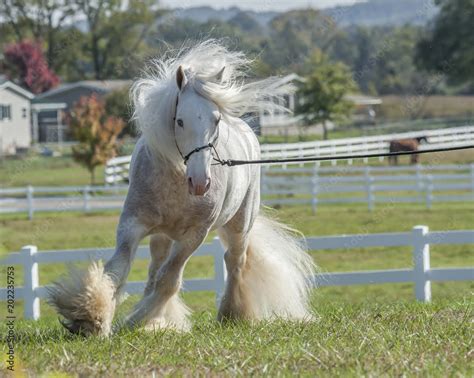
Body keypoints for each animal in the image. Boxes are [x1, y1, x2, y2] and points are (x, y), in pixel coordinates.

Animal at [48, 41, 316, 336]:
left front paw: (132, 323)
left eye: (216, 120)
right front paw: (92, 317)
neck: (175, 181)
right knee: (155, 267)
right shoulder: (132, 224)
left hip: (239, 225)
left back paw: (230, 314)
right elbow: (118, 270)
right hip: (162, 236)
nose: (200, 183)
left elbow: (169, 281)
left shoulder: (193, 236)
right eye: (179, 121)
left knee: (234, 262)